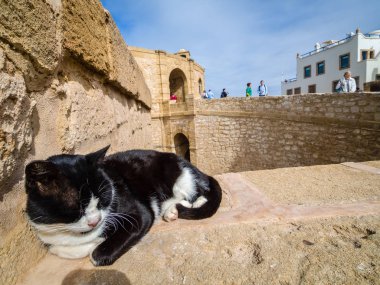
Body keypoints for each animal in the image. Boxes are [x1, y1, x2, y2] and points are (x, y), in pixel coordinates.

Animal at [25, 145, 221, 266]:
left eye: (103, 197)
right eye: (76, 207)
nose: (95, 221)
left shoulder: (138, 212)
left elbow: (95, 254)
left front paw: (97, 246)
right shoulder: (47, 234)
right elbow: (58, 248)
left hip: (179, 172)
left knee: (198, 191)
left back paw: (180, 207)